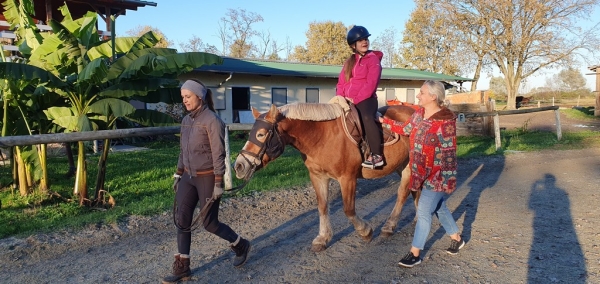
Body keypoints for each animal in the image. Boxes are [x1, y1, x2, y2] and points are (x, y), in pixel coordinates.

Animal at [233, 103, 418, 252]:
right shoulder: (318, 177)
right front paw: (322, 238)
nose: (239, 166)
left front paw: (365, 231)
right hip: (402, 166)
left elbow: (348, 209)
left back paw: (389, 226)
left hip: (410, 166)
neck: (322, 137)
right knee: (415, 191)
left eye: (261, 134)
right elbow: (322, 207)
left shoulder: (347, 178)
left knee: (402, 194)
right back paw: (416, 219)